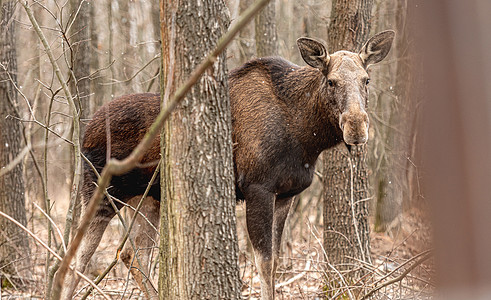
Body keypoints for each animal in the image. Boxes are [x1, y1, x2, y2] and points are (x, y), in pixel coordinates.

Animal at [58, 29, 396, 298]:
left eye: (366, 80)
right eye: (331, 81)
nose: (356, 127)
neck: (306, 136)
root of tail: (85, 129)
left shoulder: (286, 195)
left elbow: (274, 262)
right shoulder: (258, 188)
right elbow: (265, 263)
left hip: (148, 200)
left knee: (130, 254)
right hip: (99, 192)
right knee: (78, 258)